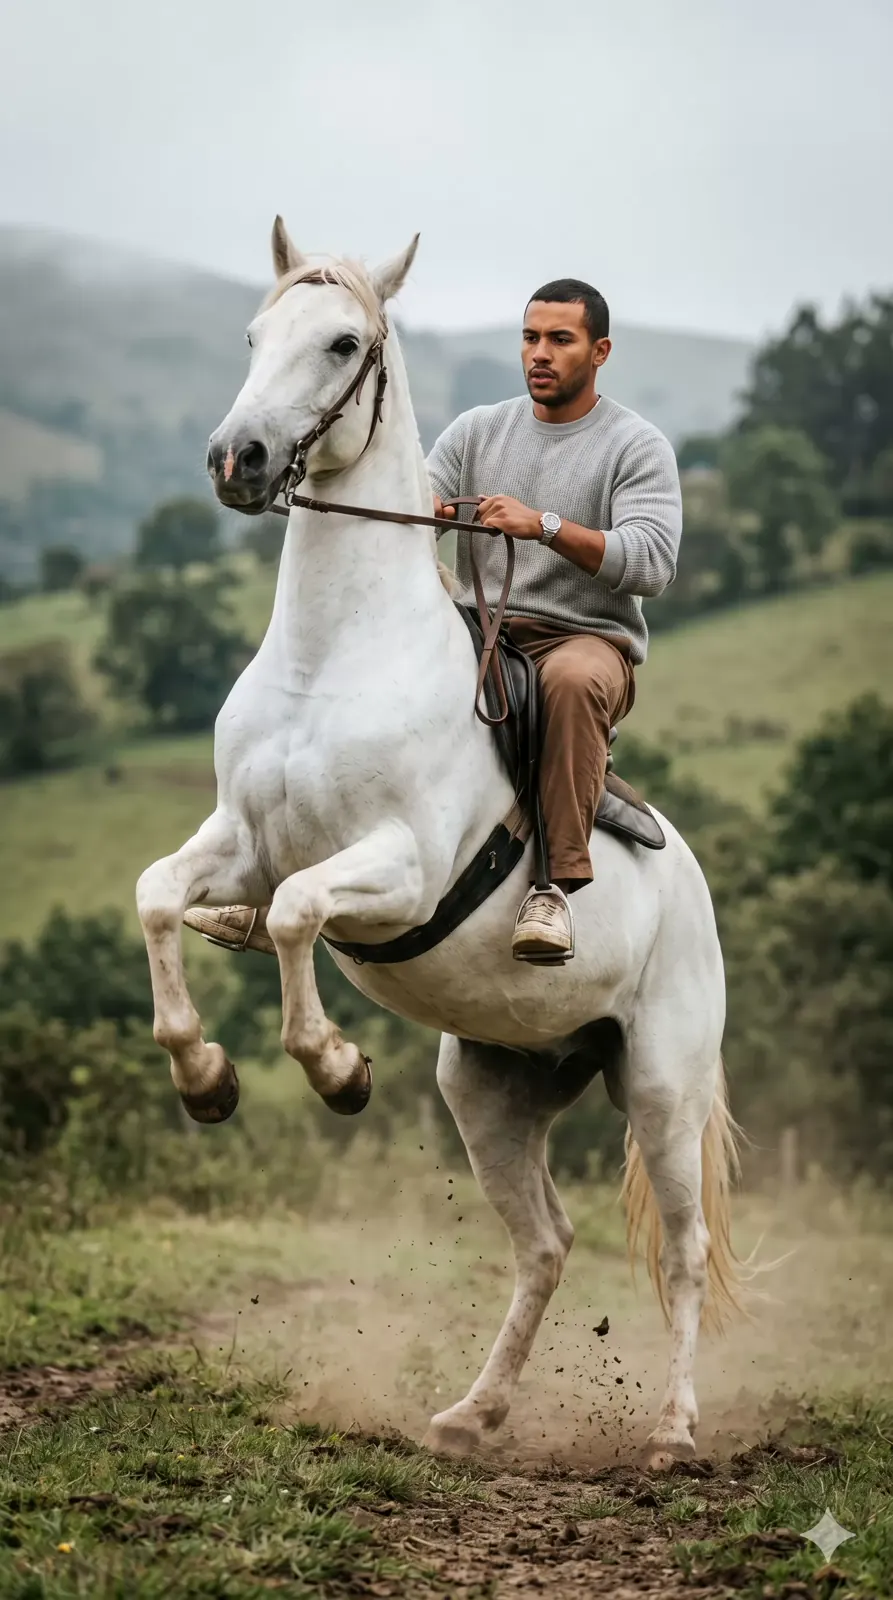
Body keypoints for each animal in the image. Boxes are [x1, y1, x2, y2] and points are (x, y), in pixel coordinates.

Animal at [136, 218, 743, 1468]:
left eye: (342, 342)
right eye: (255, 334)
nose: (237, 459)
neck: (334, 658)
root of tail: (694, 887)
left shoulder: (400, 871)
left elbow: (296, 916)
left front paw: (335, 1069)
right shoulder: (237, 839)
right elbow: (163, 897)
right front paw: (205, 1075)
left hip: (662, 1084)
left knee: (683, 1249)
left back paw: (671, 1429)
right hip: (492, 1088)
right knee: (546, 1241)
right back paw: (474, 1410)